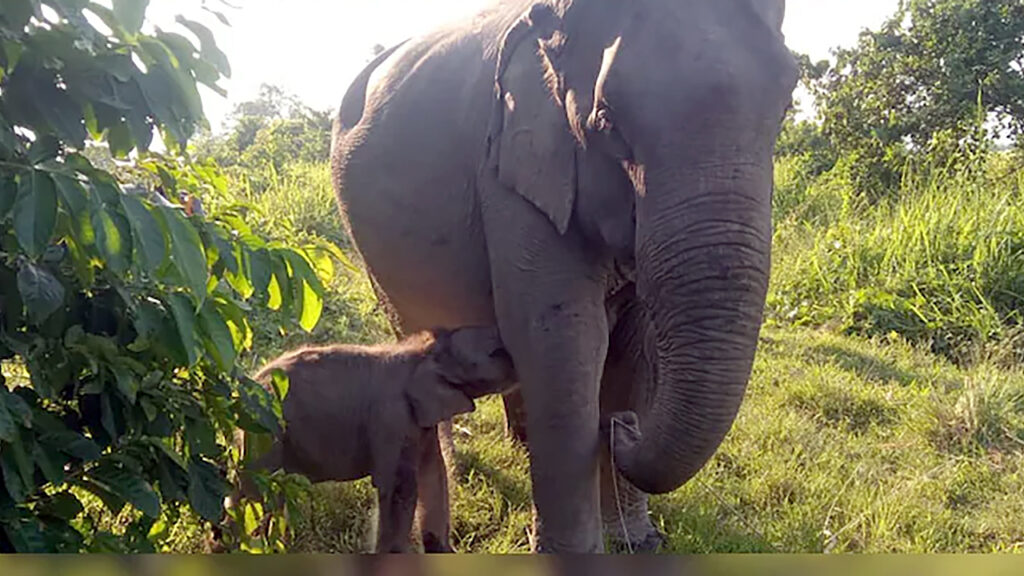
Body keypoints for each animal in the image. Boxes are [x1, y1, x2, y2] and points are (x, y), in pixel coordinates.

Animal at [232, 327, 516, 553]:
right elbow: (398, 488)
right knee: (259, 497)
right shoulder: (390, 418)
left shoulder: (420, 425)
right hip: (265, 432)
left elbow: (434, 475)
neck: (422, 351)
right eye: (496, 352)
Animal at [331, 0, 797, 553]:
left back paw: (521, 445)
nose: (624, 426)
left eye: (786, 105)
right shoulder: (510, 172)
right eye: (607, 122)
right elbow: (563, 337)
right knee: (416, 336)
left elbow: (634, 345)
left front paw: (637, 542)